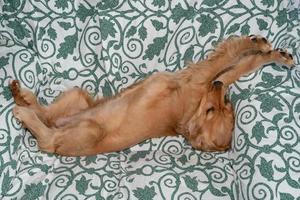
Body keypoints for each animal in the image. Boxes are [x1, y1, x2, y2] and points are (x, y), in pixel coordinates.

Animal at [9, 35, 292, 156]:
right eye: (222, 105)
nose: (219, 87)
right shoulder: (204, 80)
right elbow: (238, 64)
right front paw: (274, 53)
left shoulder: (200, 79)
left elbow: (229, 59)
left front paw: (261, 48)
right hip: (77, 98)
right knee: (45, 113)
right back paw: (21, 94)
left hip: (87, 129)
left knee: (47, 138)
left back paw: (23, 110)